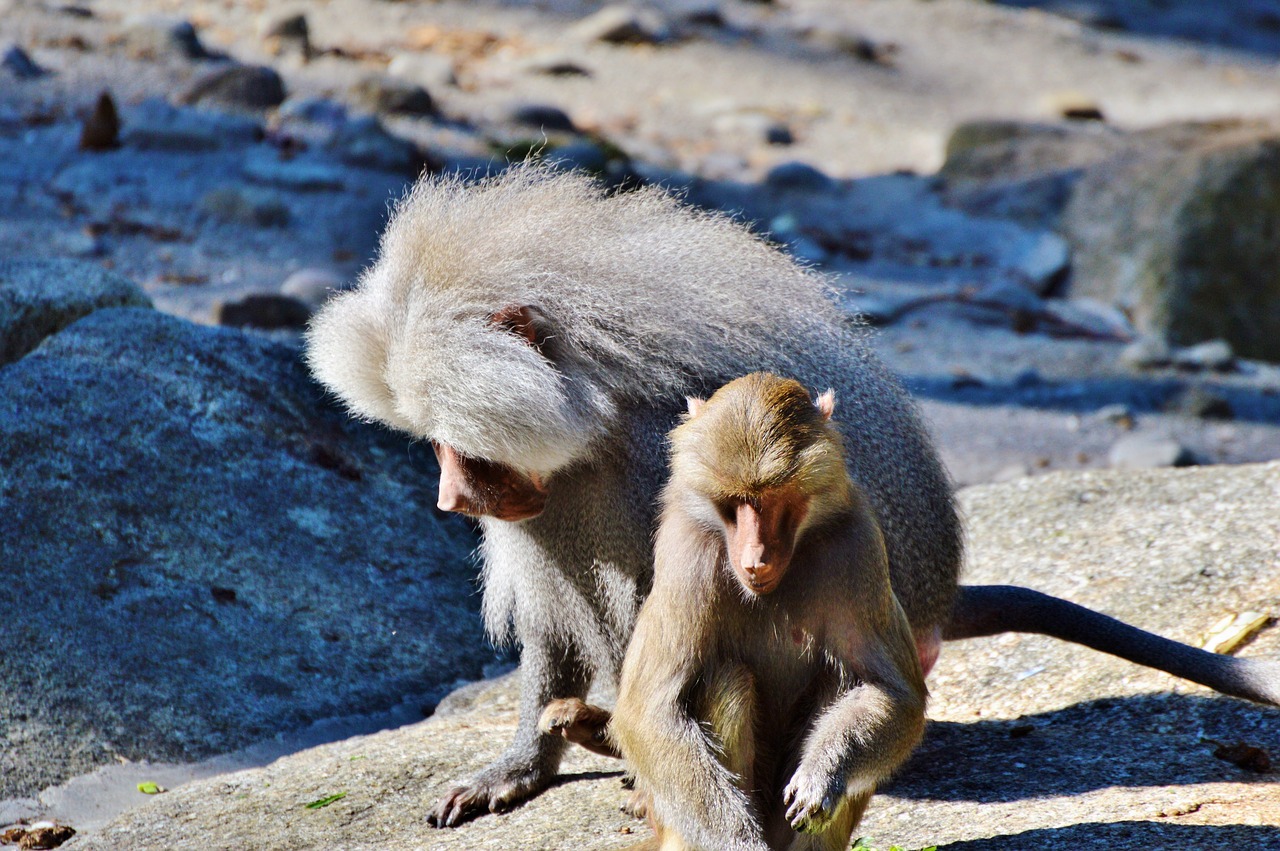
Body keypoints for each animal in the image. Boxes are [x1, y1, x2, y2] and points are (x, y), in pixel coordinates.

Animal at [611, 376, 931, 849]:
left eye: (776, 499)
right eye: (737, 501)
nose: (755, 562)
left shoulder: (858, 545)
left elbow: (893, 693)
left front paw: (822, 778)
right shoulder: (686, 553)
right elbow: (648, 710)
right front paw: (740, 843)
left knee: (841, 678)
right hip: (677, 827)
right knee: (726, 677)